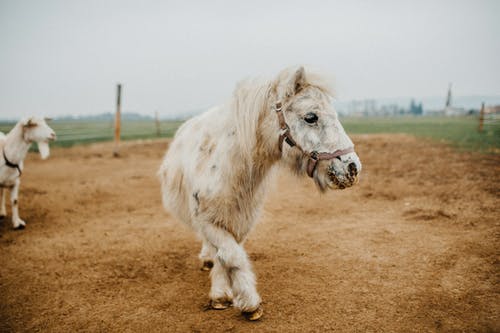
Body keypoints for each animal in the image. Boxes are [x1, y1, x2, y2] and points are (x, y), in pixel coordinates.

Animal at [158, 65, 362, 320]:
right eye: (311, 117)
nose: (353, 168)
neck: (228, 165)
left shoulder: (241, 221)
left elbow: (228, 256)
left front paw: (226, 293)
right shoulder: (207, 220)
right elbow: (230, 255)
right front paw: (246, 303)